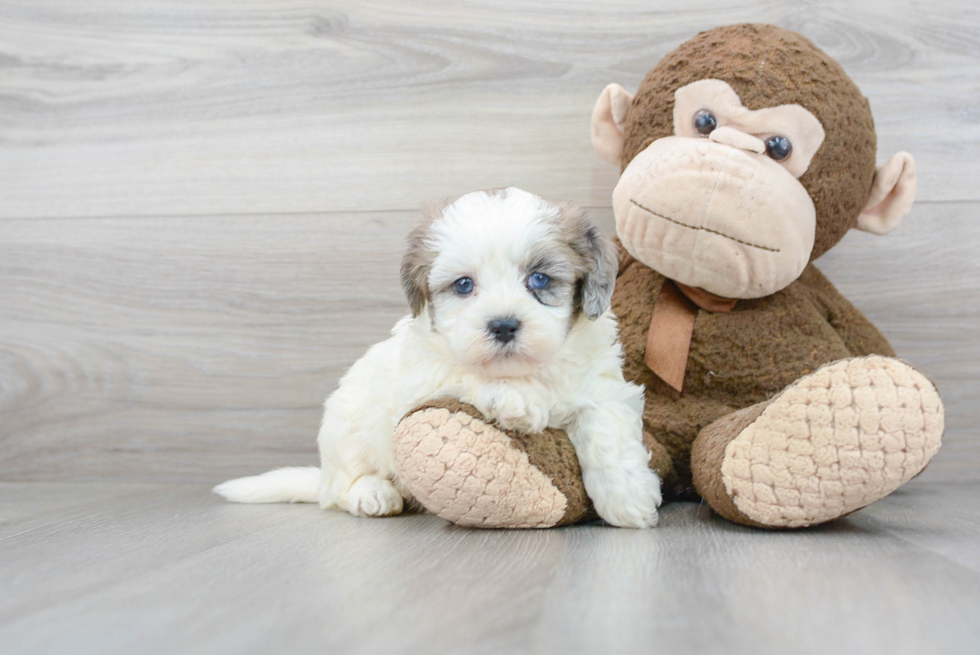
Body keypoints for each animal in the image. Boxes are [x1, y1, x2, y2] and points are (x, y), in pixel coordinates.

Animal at [217, 187, 664, 532]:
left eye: (539, 279)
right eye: (463, 285)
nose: (503, 325)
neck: (526, 370)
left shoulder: (603, 389)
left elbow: (607, 432)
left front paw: (629, 498)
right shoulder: (422, 377)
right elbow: (463, 372)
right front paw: (516, 399)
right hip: (346, 429)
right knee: (339, 487)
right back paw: (373, 492)